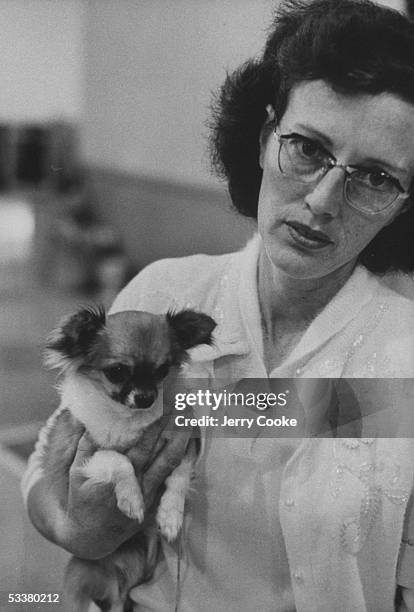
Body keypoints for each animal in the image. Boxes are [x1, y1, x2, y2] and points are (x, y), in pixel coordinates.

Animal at [41, 306, 217, 612]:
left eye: (162, 371)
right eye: (117, 371)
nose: (146, 397)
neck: (129, 418)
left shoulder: (185, 442)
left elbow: (179, 477)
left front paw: (170, 516)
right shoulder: (86, 457)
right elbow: (118, 460)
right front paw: (132, 499)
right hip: (81, 576)